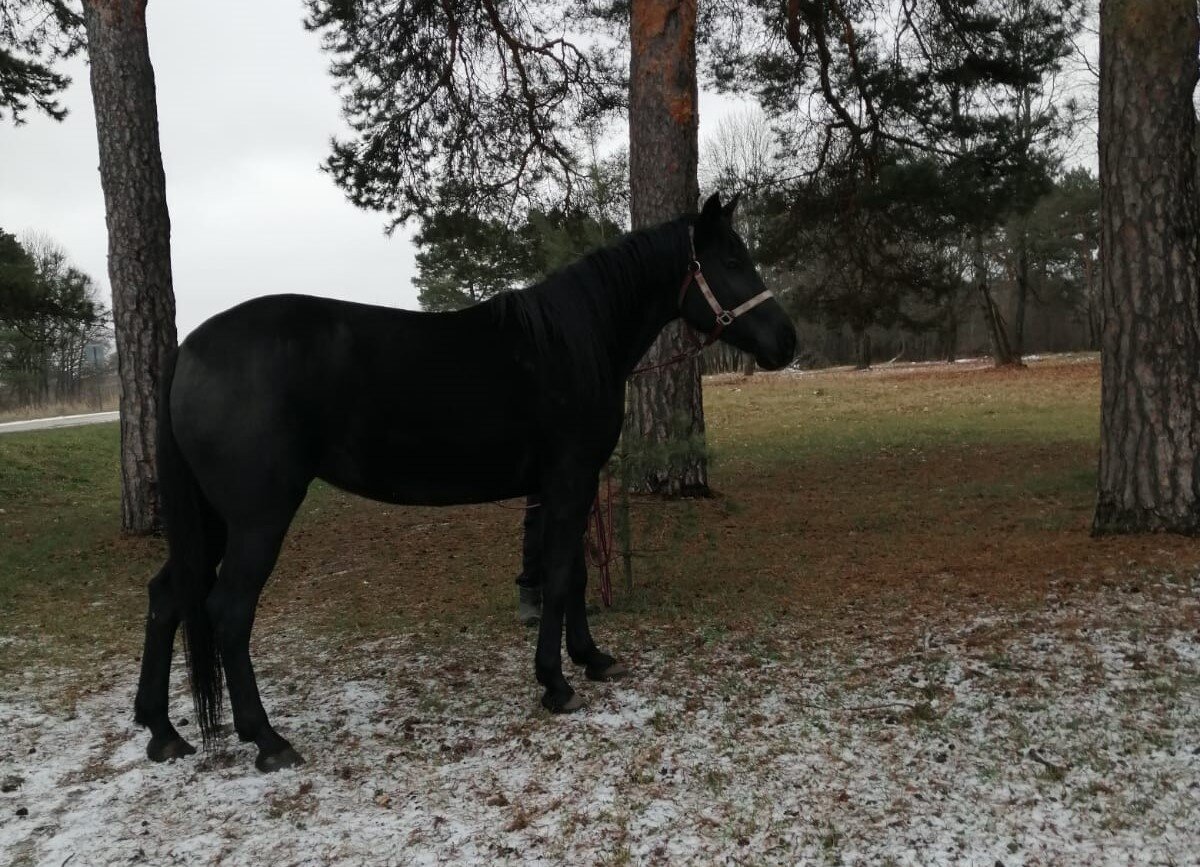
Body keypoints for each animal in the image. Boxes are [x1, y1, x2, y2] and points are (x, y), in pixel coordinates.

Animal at [136, 192, 796, 768]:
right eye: (731, 260)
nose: (788, 341)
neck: (571, 342)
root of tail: (189, 348)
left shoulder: (563, 487)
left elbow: (574, 573)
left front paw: (591, 657)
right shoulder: (568, 480)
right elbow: (560, 576)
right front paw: (556, 683)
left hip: (210, 519)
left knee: (167, 596)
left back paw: (163, 732)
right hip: (257, 517)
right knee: (228, 610)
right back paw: (267, 739)